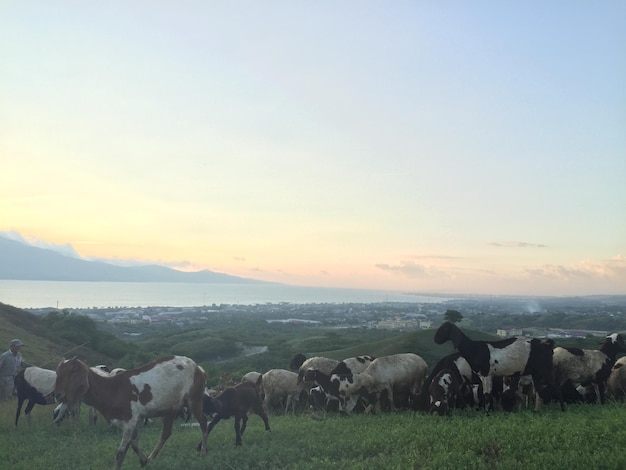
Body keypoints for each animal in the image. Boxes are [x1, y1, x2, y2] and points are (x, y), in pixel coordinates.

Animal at [54, 356, 206, 470]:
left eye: (72, 371)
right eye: (58, 371)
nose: (57, 394)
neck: (113, 389)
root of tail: (198, 368)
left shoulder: (130, 419)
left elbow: (120, 453)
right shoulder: (134, 420)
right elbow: (134, 444)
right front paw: (144, 461)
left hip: (194, 398)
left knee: (203, 424)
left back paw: (202, 453)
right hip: (170, 408)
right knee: (166, 433)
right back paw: (152, 457)